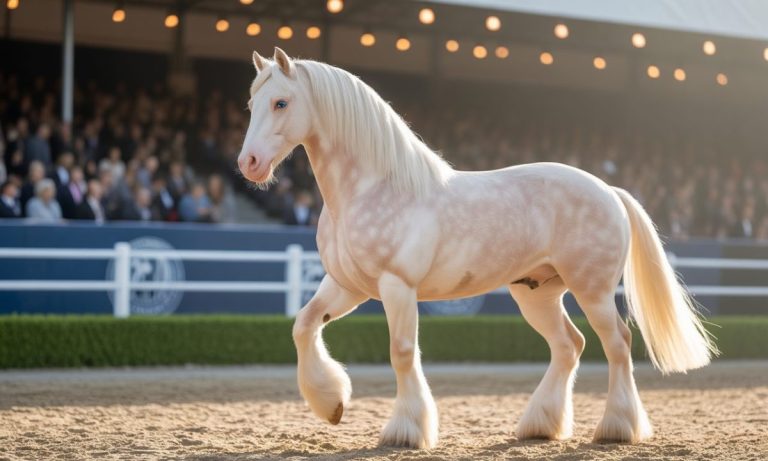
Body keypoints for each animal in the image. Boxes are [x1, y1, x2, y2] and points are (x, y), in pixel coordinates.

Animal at [237, 47, 717, 449]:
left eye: (281, 103)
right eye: (251, 105)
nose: (249, 164)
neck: (373, 188)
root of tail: (609, 191)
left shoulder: (397, 287)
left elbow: (402, 352)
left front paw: (406, 431)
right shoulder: (347, 286)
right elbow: (304, 325)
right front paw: (332, 404)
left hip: (592, 291)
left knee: (617, 343)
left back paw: (617, 429)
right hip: (537, 293)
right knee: (570, 345)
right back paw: (540, 425)